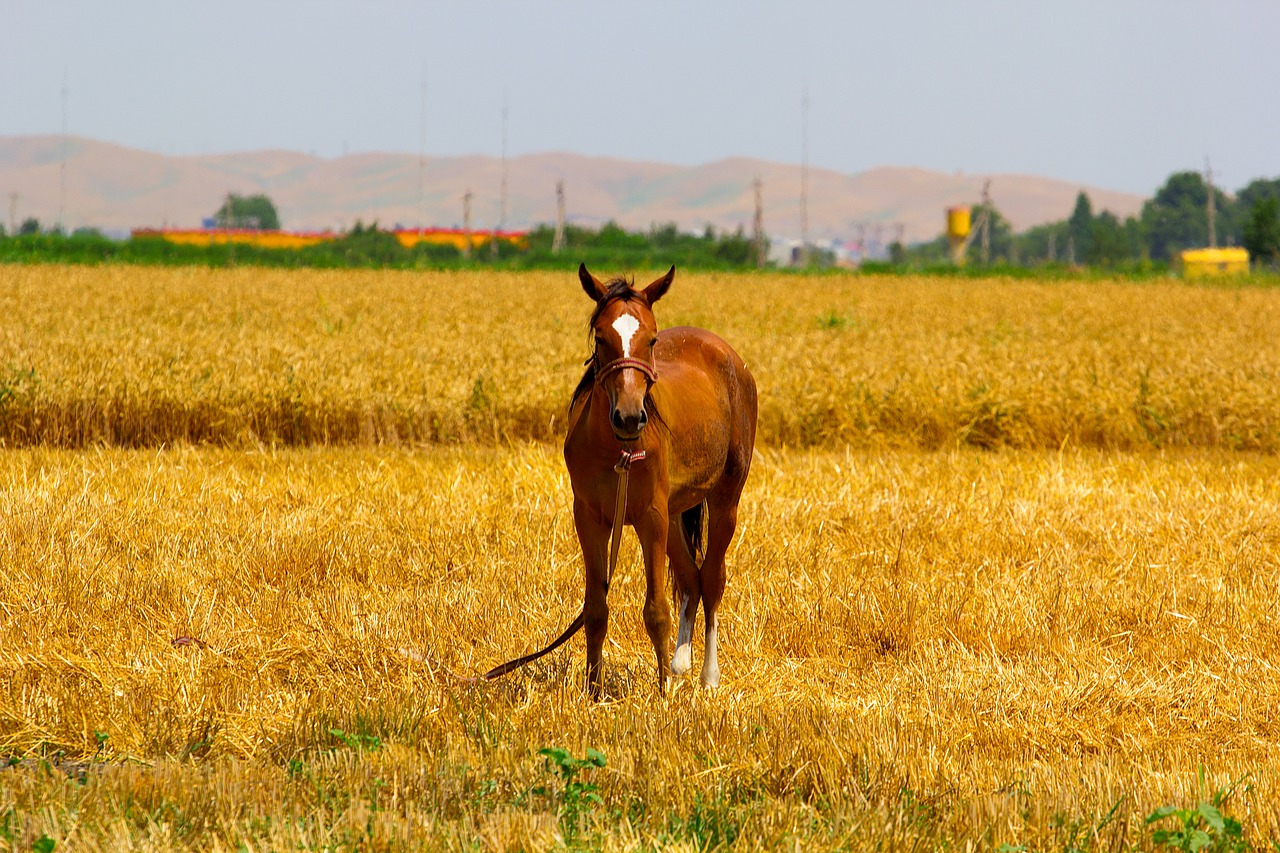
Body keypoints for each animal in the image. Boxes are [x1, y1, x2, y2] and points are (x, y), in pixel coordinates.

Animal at [565, 262, 752, 696]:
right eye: (602, 338)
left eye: (651, 339)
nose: (630, 417)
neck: (614, 449)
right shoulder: (590, 518)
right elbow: (595, 608)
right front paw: (593, 691)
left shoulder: (650, 517)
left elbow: (656, 610)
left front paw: (663, 691)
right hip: (675, 513)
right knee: (690, 578)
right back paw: (681, 663)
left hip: (724, 499)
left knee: (711, 579)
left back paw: (707, 676)